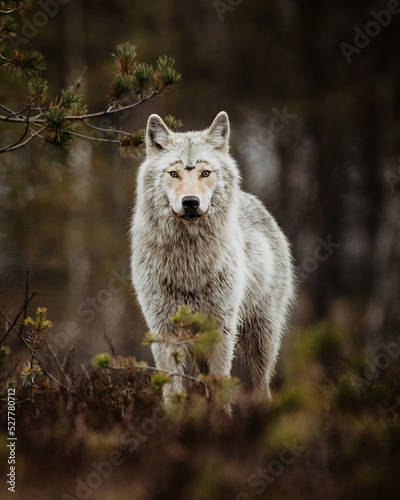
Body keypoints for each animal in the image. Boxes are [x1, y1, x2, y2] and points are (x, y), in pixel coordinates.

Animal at [130, 112, 296, 406]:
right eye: (174, 173)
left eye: (205, 173)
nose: (190, 202)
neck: (189, 263)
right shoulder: (164, 331)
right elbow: (173, 392)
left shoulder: (221, 328)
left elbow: (221, 385)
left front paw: (221, 417)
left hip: (260, 337)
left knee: (261, 384)